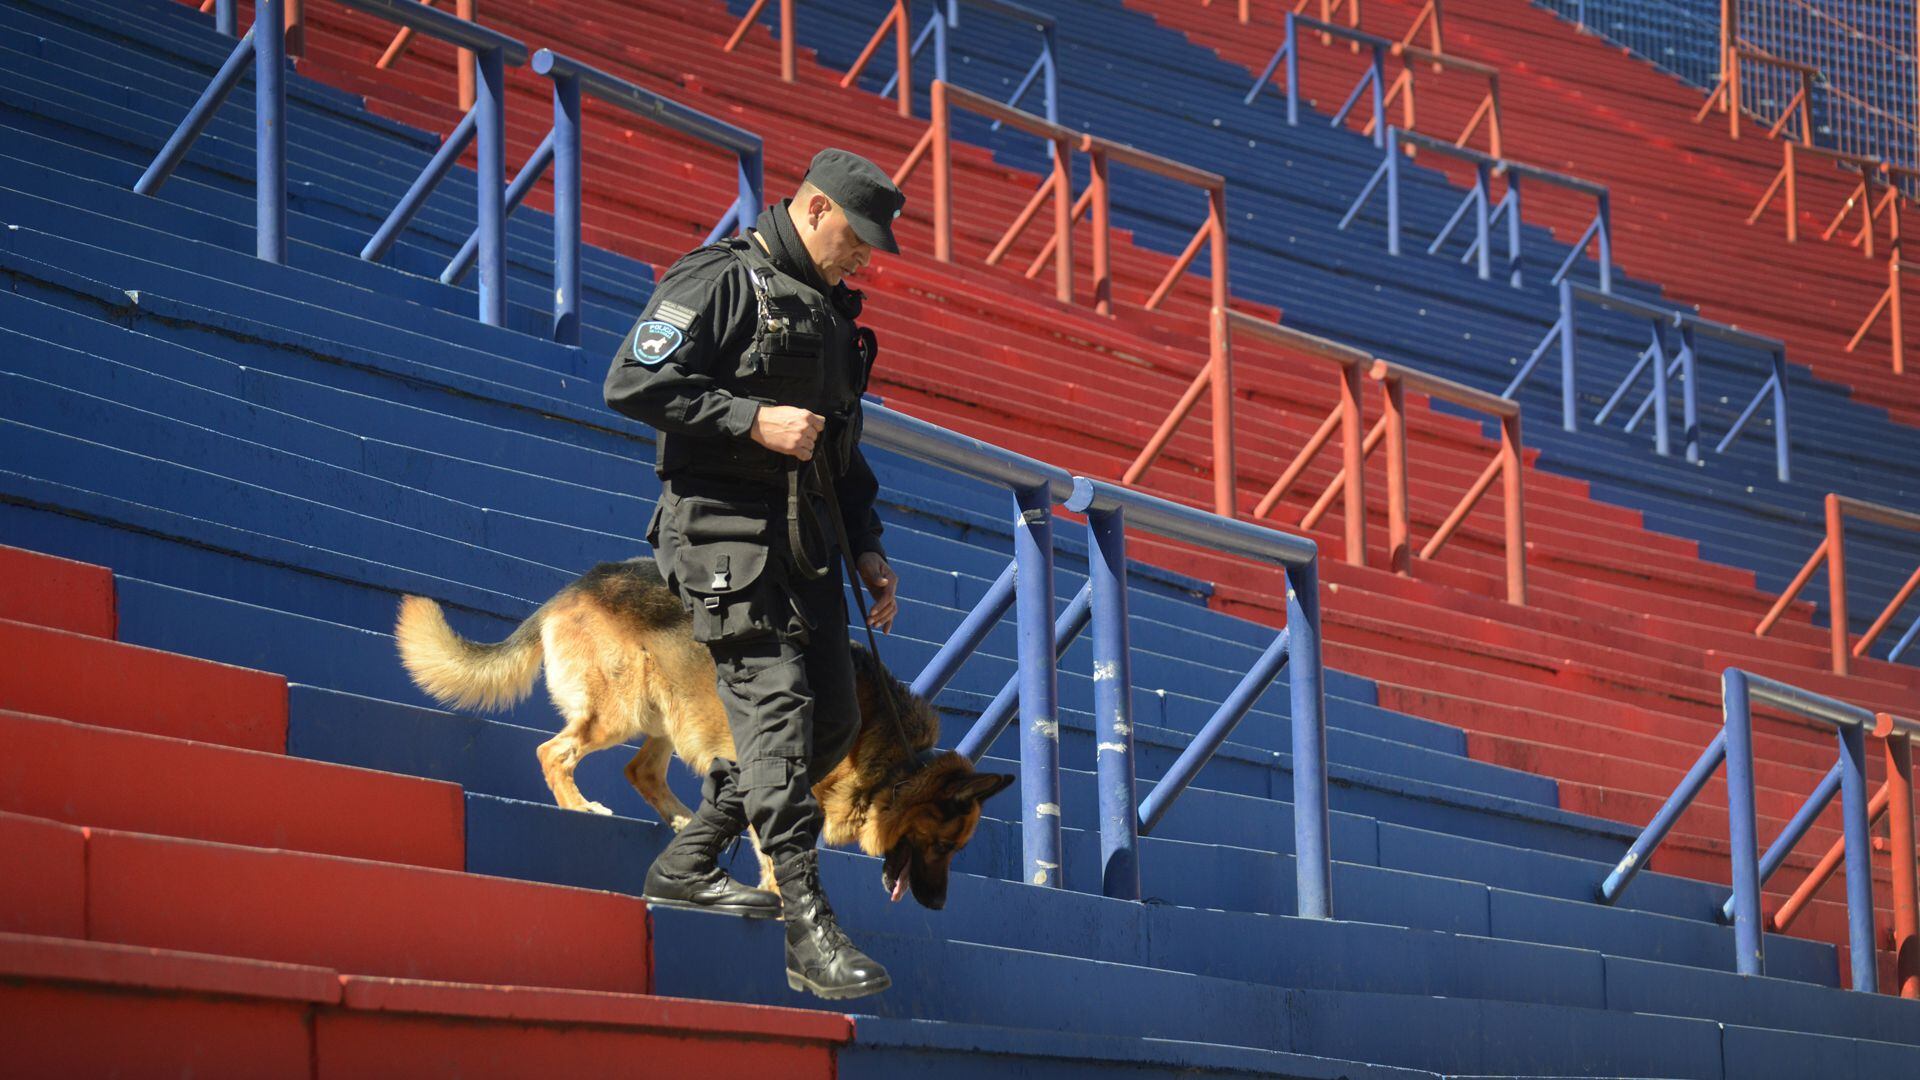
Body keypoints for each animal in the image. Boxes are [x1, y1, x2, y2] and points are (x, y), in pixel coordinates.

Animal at [393, 557, 1021, 903]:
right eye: (942, 846)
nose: (937, 907)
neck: (894, 767)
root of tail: (575, 588)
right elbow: (779, 851)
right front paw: (780, 899)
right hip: (620, 708)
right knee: (555, 751)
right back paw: (579, 807)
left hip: (673, 710)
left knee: (640, 769)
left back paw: (681, 822)